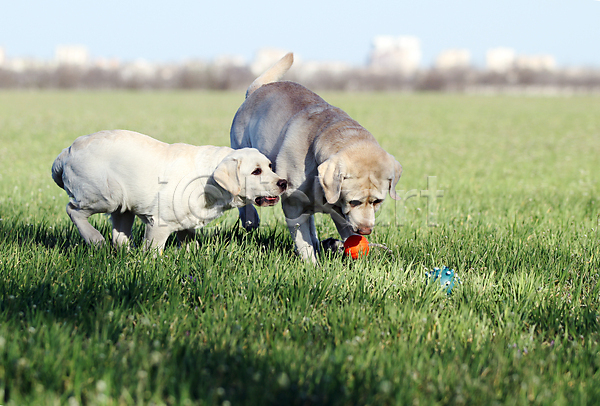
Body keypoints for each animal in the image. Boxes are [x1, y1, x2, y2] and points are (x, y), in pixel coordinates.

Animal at [52, 130, 288, 251]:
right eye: (256, 171)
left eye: (270, 166)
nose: (283, 182)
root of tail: (66, 152)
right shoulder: (158, 223)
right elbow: (153, 251)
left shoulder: (187, 224)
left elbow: (190, 244)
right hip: (105, 196)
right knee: (73, 210)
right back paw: (95, 239)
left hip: (123, 206)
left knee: (119, 237)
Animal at [232, 53, 400, 264]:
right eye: (354, 201)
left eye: (377, 201)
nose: (366, 230)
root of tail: (257, 89)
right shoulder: (293, 205)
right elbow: (303, 241)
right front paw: (312, 265)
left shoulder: (340, 214)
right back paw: (250, 219)